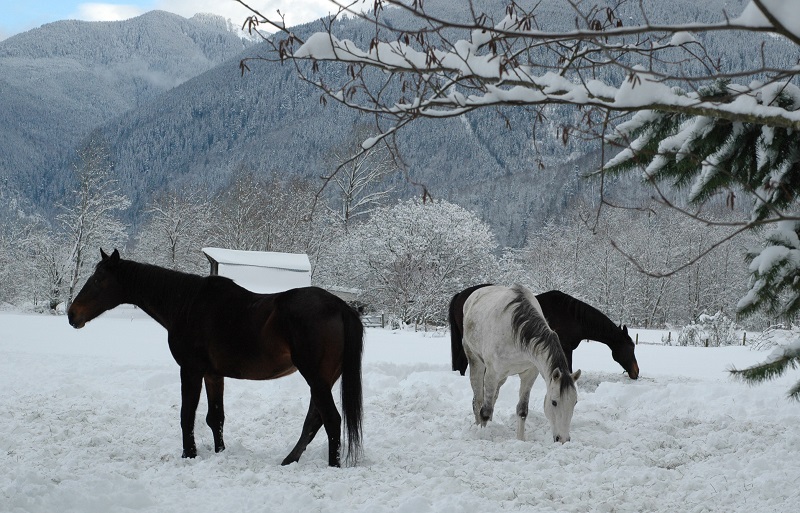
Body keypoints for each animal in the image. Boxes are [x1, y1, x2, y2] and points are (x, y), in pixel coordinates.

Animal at [67, 249, 363, 467]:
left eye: (98, 280)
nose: (72, 314)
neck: (186, 304)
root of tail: (341, 306)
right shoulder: (213, 374)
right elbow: (215, 417)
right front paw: (220, 452)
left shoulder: (191, 370)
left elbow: (187, 414)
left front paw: (189, 454)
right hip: (323, 379)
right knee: (315, 420)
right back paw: (289, 460)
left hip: (315, 377)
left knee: (331, 420)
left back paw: (331, 465)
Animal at [462, 284, 581, 443]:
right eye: (554, 402)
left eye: (575, 402)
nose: (563, 439)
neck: (515, 333)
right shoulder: (492, 374)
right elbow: (485, 411)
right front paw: (483, 436)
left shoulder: (529, 375)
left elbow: (522, 410)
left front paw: (520, 439)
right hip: (476, 362)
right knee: (479, 401)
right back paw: (478, 426)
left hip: (502, 377)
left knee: (493, 398)